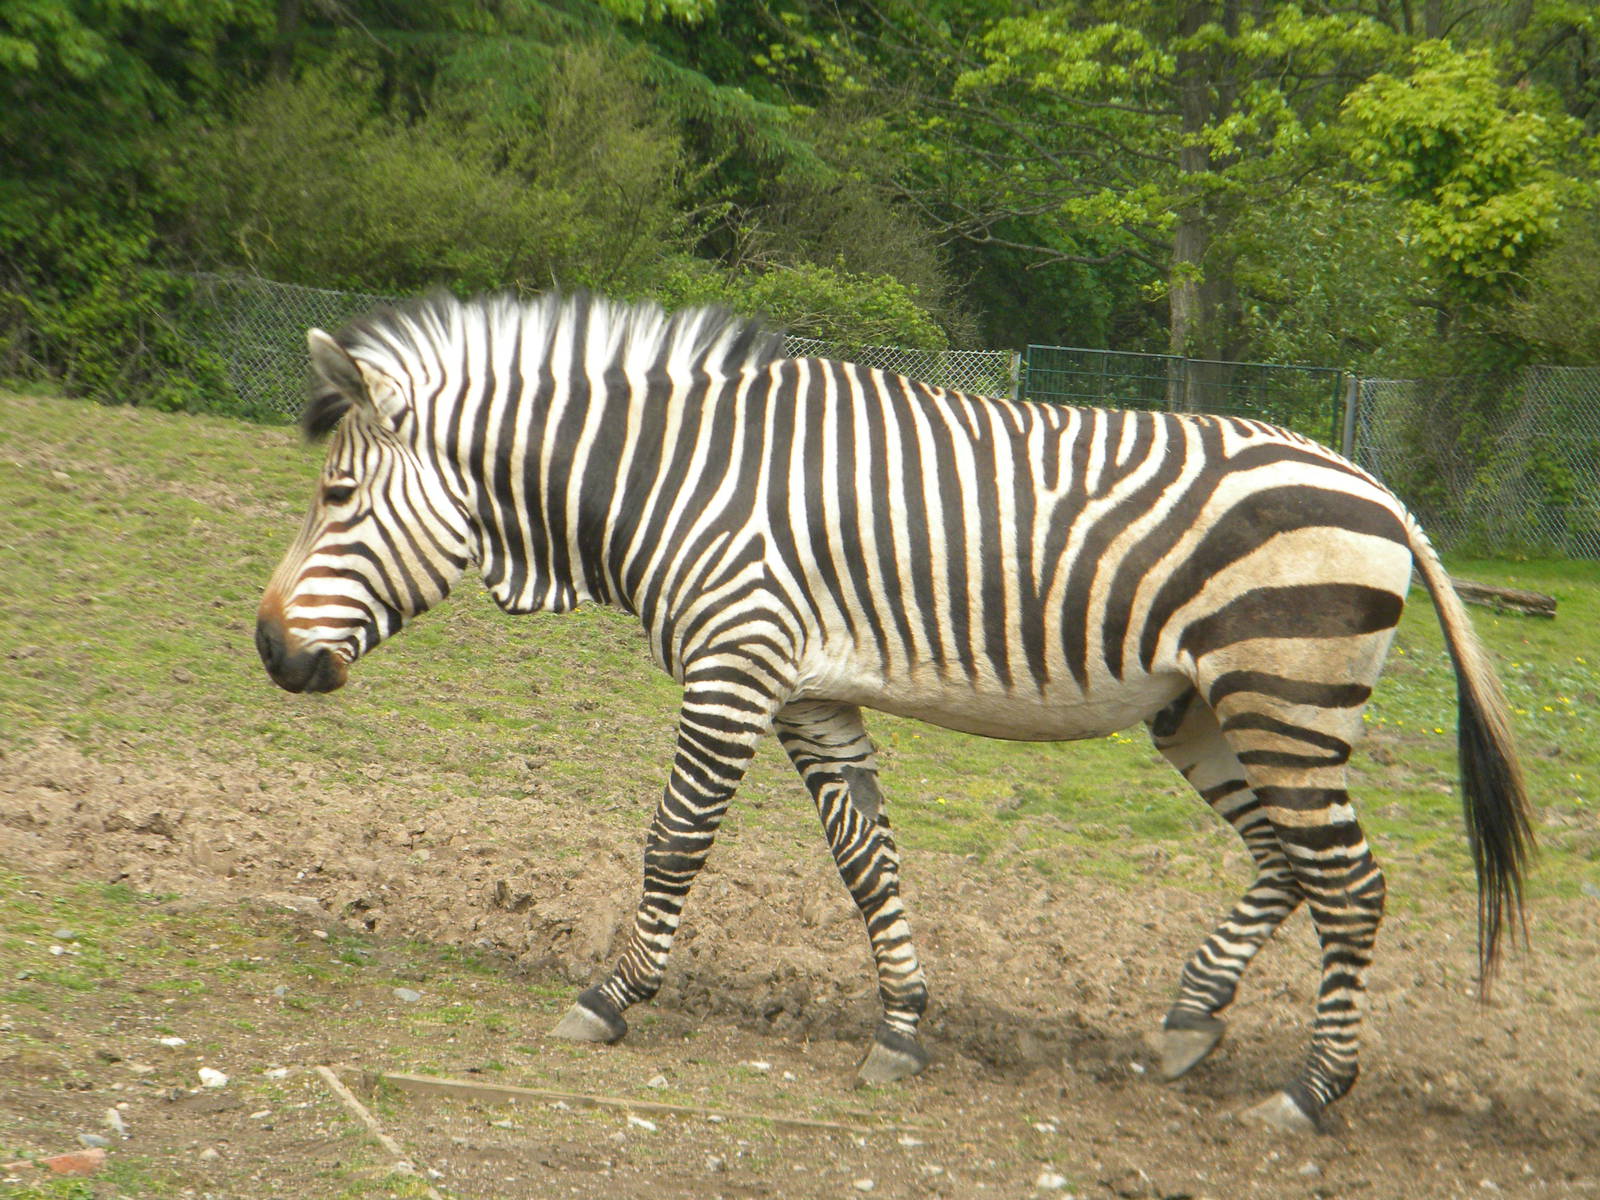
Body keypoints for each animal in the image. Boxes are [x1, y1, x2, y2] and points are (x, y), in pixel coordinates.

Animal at [255, 291, 1532, 1134]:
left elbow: (675, 842)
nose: (267, 647)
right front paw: (902, 1028)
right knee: (1285, 861)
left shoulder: (733, 664)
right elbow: (866, 860)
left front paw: (609, 1001)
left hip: (1283, 695)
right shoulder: (809, 691)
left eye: (337, 493)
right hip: (1204, 709)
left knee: (1350, 883)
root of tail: (1378, 489)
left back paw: (1310, 1094)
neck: (670, 481)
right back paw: (1189, 1020)